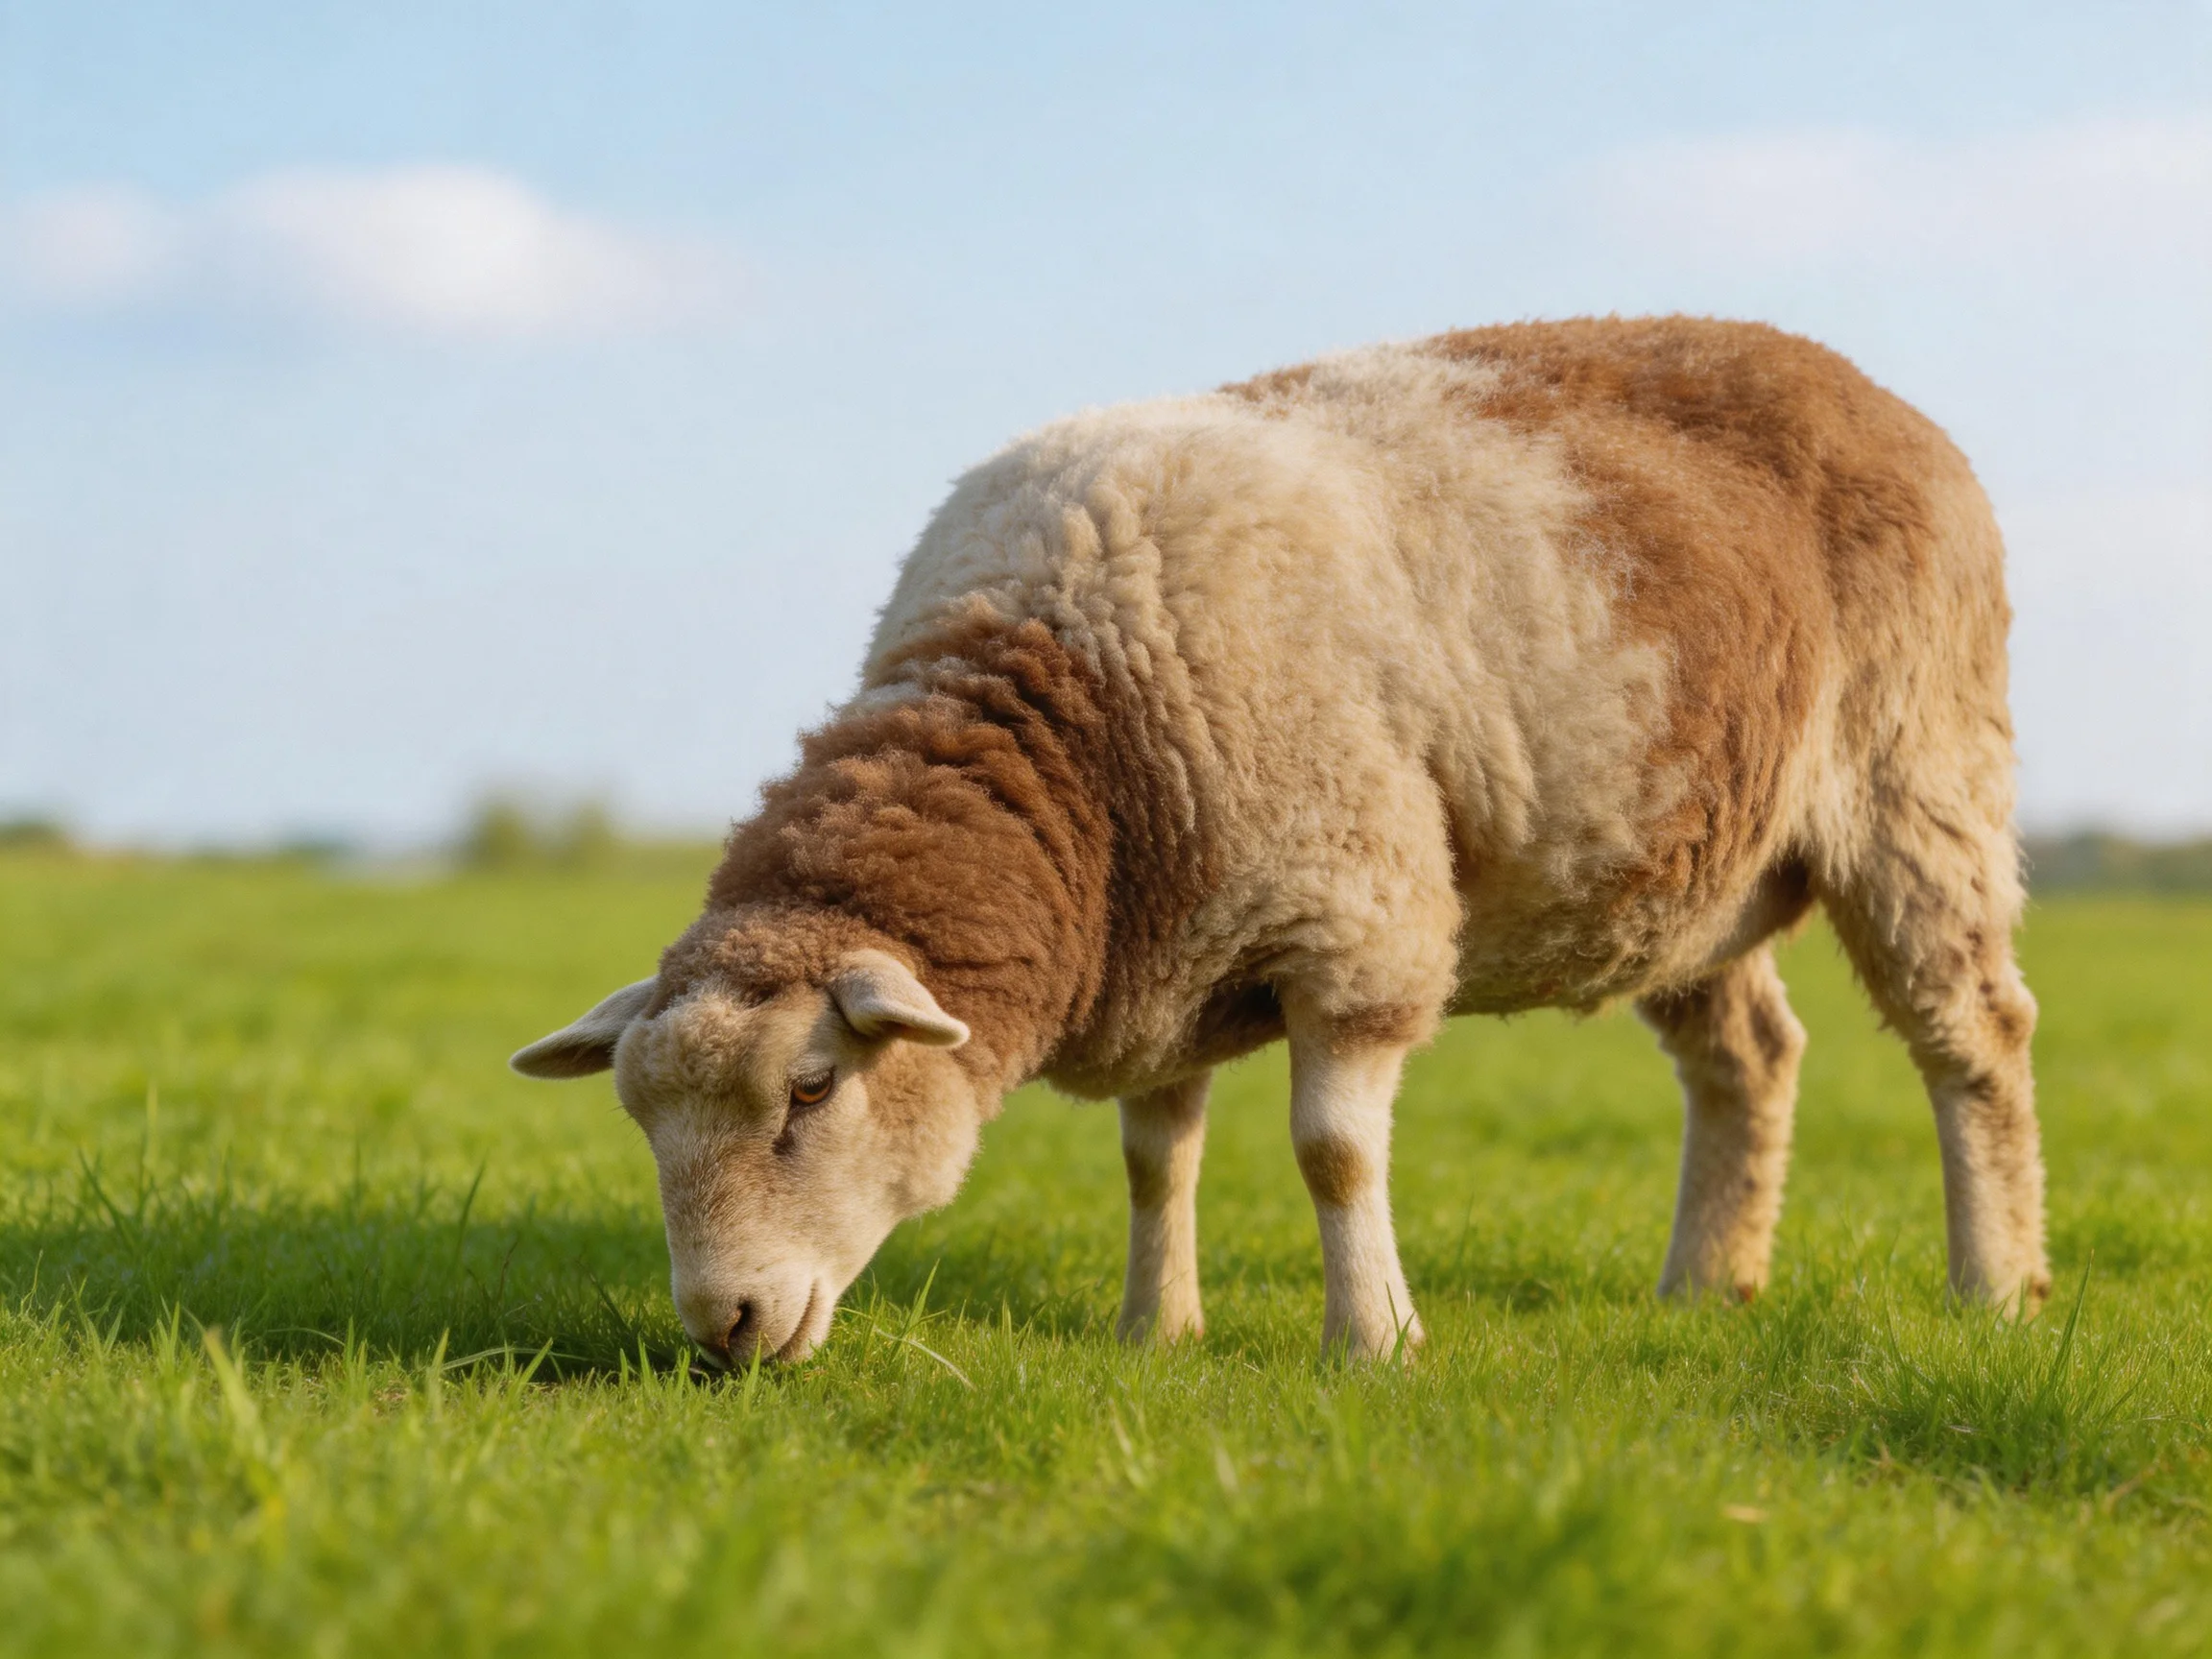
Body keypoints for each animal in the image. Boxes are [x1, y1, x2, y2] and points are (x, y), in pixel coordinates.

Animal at [513, 316, 2048, 1365]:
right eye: (639, 1120)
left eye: (813, 1090)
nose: (722, 1326)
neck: (1078, 718)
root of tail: (1872, 390)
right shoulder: (1162, 957)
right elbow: (1156, 1157)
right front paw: (1156, 1330)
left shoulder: (1356, 920)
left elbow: (1332, 1155)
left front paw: (1375, 1344)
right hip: (1681, 866)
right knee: (1752, 1058)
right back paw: (1703, 1288)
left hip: (1924, 778)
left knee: (1976, 1036)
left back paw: (2000, 1289)